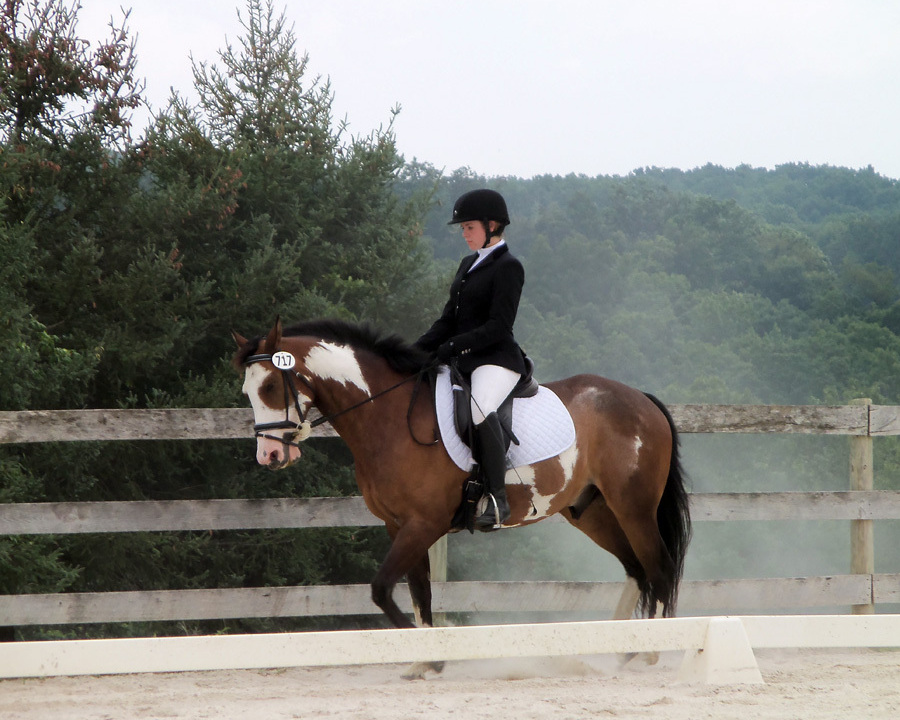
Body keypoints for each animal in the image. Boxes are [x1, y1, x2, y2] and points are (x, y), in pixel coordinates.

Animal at [232, 318, 691, 667]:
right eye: (247, 391)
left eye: (270, 387)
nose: (269, 455)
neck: (388, 418)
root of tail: (641, 399)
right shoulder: (398, 525)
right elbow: (418, 593)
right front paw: (422, 663)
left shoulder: (423, 524)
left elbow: (382, 588)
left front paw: (433, 659)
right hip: (592, 513)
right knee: (637, 570)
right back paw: (622, 650)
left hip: (633, 508)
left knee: (659, 568)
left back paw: (652, 654)